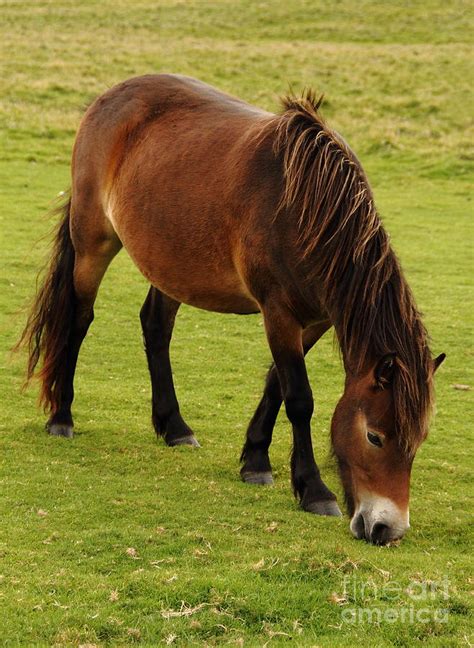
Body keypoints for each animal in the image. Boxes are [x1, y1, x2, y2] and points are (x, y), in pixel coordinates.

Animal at [17, 73, 444, 544]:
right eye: (374, 437)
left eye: (418, 441)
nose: (388, 528)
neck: (308, 211)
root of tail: (108, 98)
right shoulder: (278, 312)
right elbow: (299, 398)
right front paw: (313, 490)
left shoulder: (314, 319)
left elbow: (276, 384)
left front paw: (255, 460)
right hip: (94, 242)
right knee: (78, 321)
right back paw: (61, 417)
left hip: (171, 263)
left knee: (155, 327)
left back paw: (175, 427)